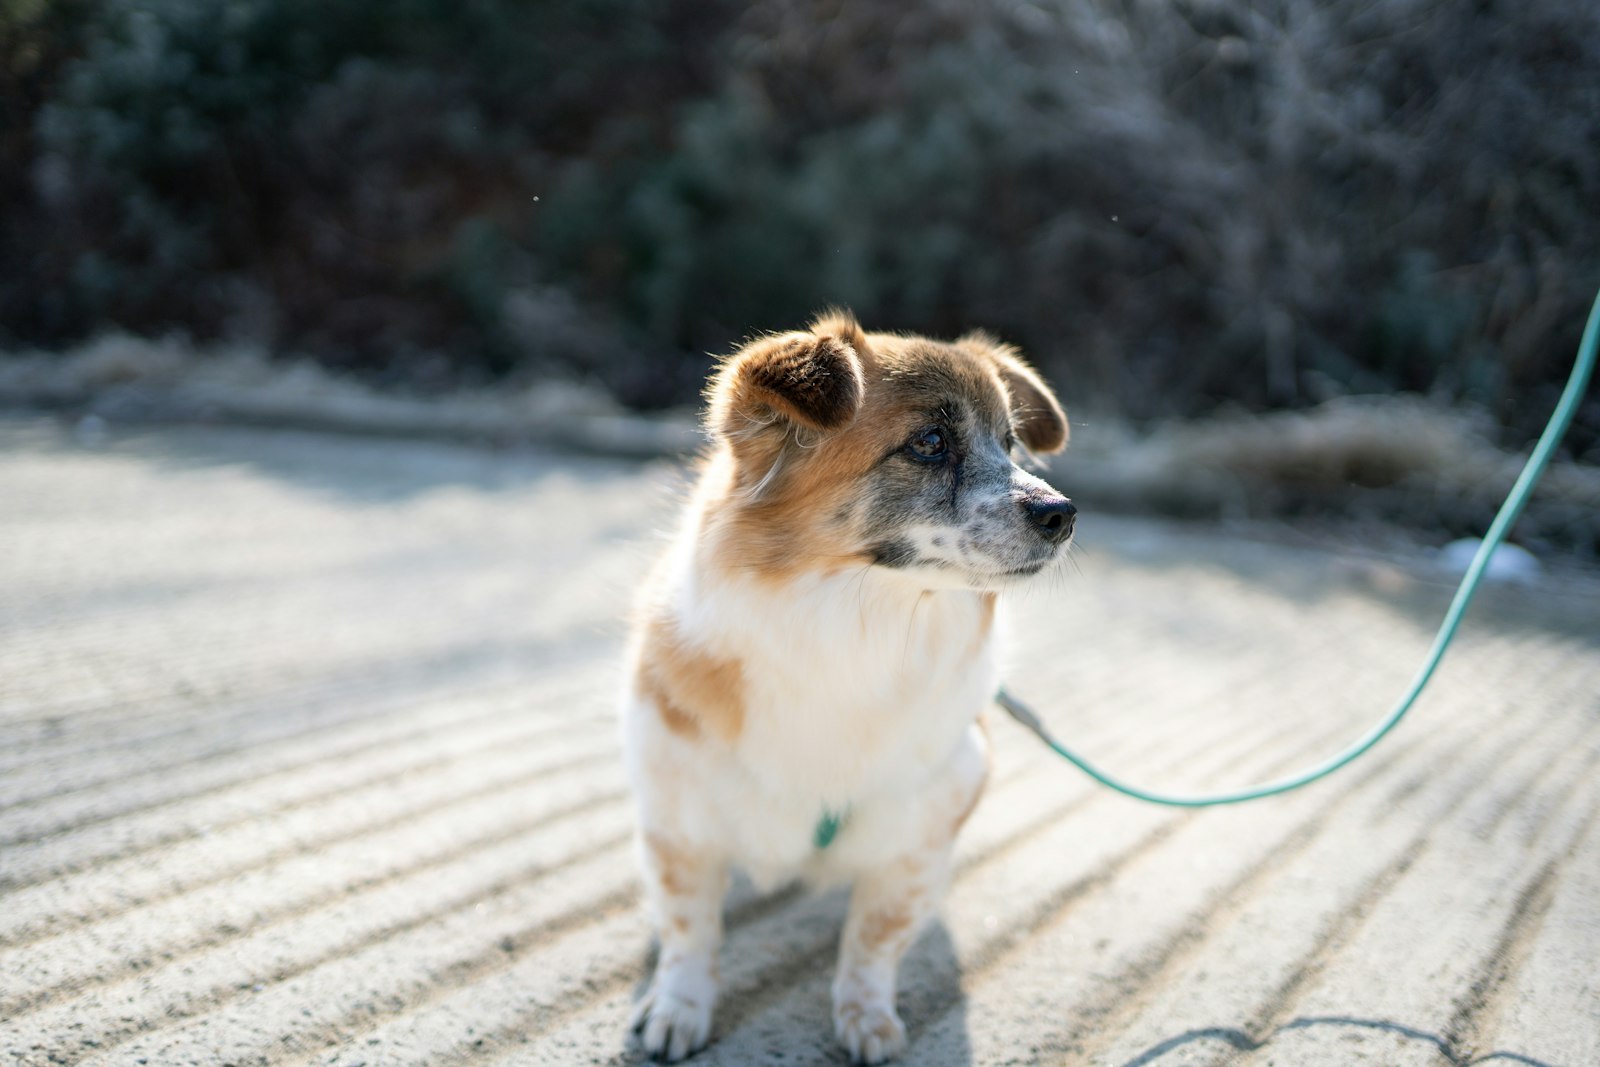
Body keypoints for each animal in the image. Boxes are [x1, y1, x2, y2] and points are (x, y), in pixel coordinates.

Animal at [624, 308, 1075, 1062]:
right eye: (930, 442)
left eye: (1011, 444)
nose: (1063, 514)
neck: (854, 632)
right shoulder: (677, 813)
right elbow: (690, 924)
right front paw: (679, 1005)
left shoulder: (922, 829)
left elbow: (876, 934)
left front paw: (865, 1015)